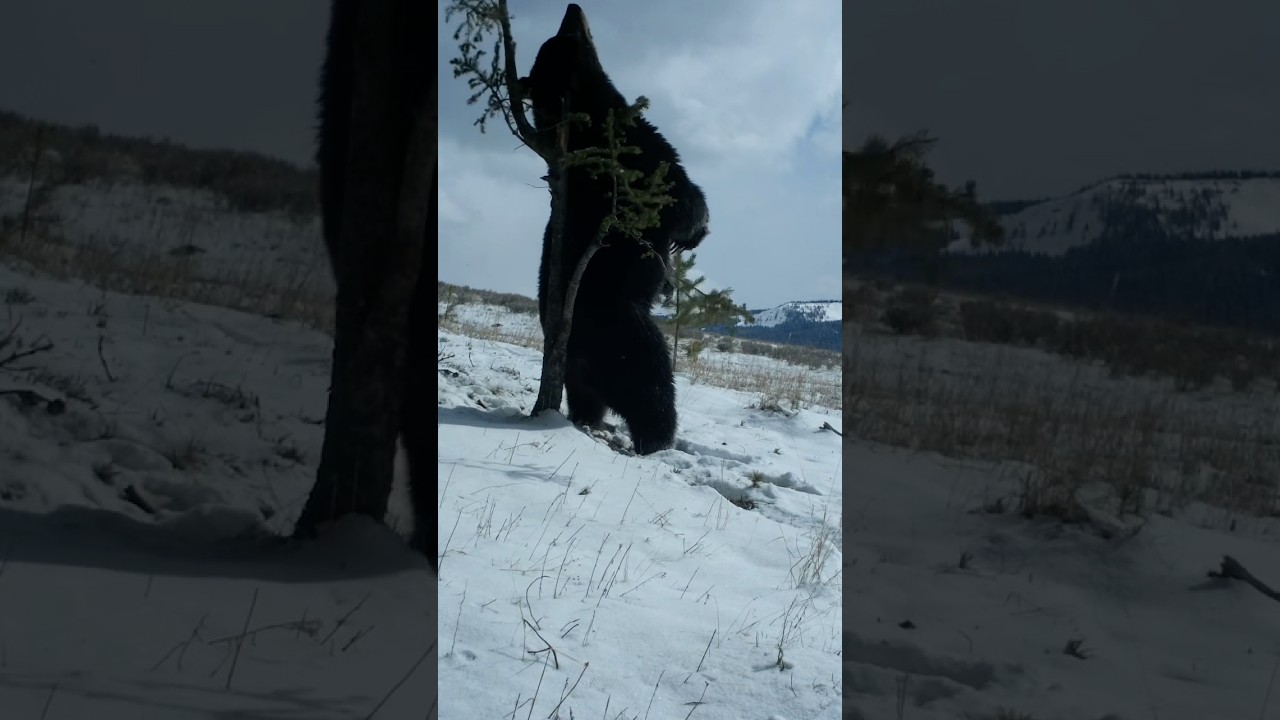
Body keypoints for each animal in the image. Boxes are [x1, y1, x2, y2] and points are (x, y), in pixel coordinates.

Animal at [523, 4, 711, 455]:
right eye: (566, 37)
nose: (572, 7)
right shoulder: (640, 160)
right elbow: (681, 195)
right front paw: (696, 230)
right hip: (631, 339)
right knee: (653, 388)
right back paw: (657, 439)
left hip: (584, 373)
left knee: (587, 400)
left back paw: (589, 421)